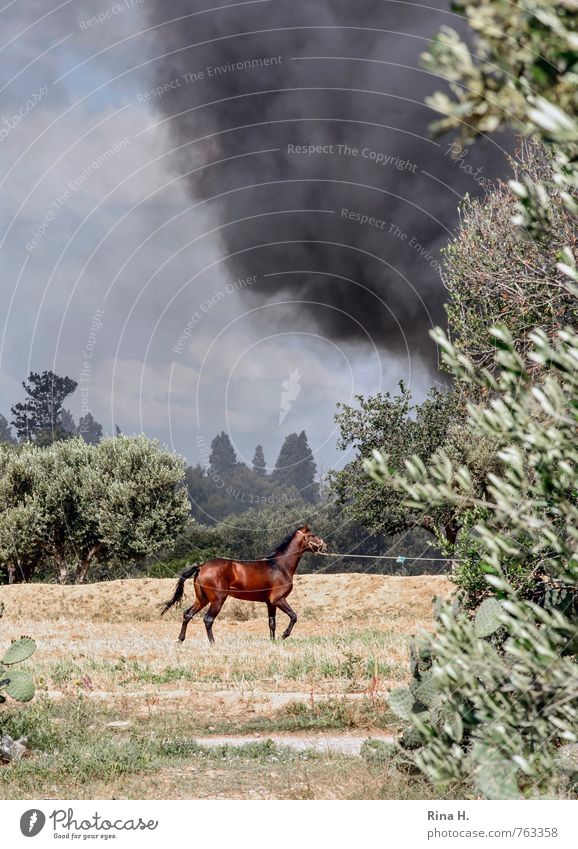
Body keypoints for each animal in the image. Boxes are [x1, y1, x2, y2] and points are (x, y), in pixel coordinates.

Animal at [160, 524, 326, 644]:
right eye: (312, 535)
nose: (325, 546)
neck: (279, 565)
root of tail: (201, 567)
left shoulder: (270, 603)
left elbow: (272, 623)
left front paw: (273, 641)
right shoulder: (278, 599)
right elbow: (293, 616)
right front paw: (284, 635)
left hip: (202, 599)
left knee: (187, 614)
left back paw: (180, 640)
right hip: (217, 600)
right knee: (208, 619)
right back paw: (213, 643)